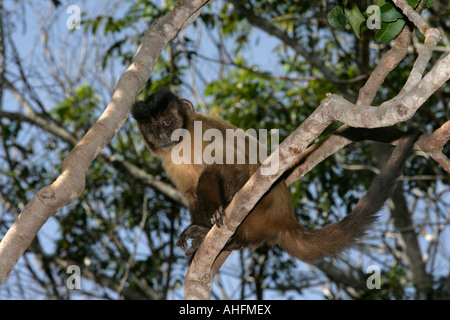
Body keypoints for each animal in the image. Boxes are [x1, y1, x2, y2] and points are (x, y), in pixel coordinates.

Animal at [131, 86, 418, 262]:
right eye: (154, 127)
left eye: (168, 122)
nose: (163, 135)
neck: (183, 142)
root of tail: (285, 219)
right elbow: (191, 194)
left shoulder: (202, 130)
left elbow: (233, 164)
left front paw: (220, 211)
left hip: (260, 211)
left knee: (214, 176)